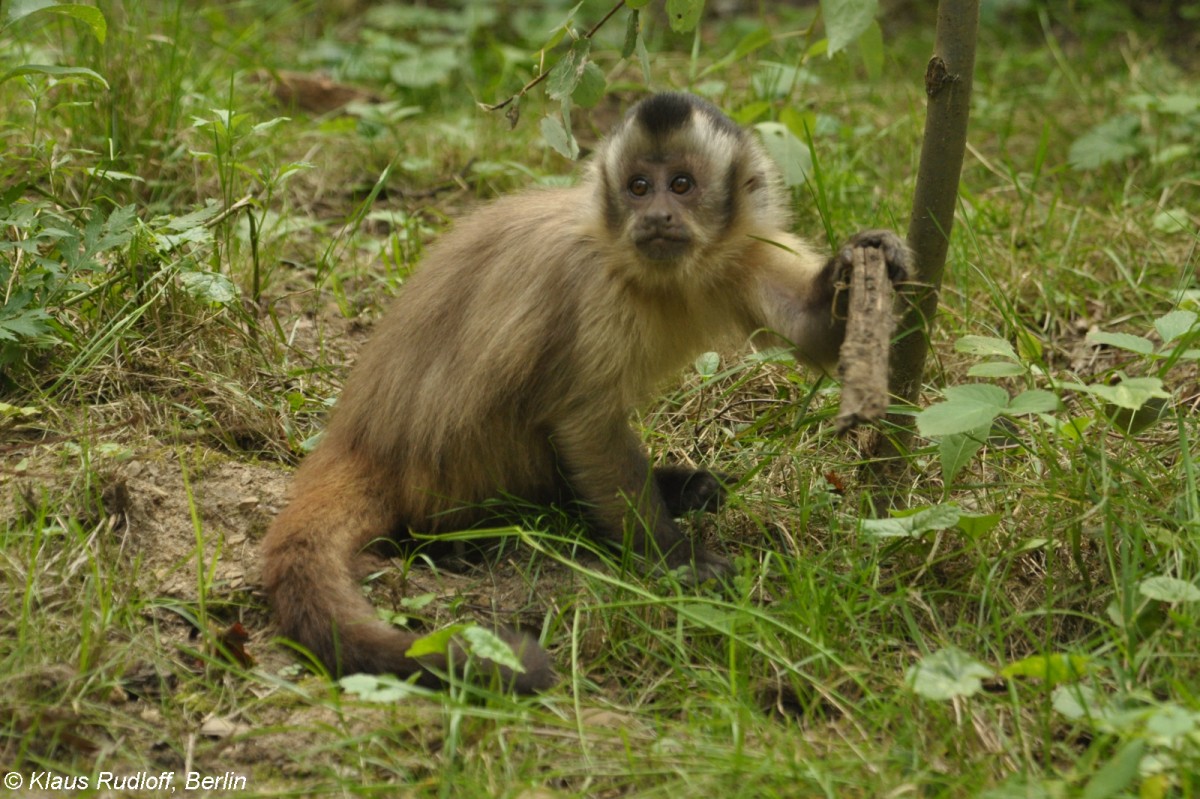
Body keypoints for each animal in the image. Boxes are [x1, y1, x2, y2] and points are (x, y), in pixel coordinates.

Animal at [258, 91, 902, 691]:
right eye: (639, 187)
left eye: (682, 185)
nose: (658, 214)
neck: (655, 275)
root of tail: (359, 438)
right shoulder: (594, 287)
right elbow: (583, 421)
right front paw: (676, 562)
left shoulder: (742, 251)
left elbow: (813, 332)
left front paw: (863, 264)